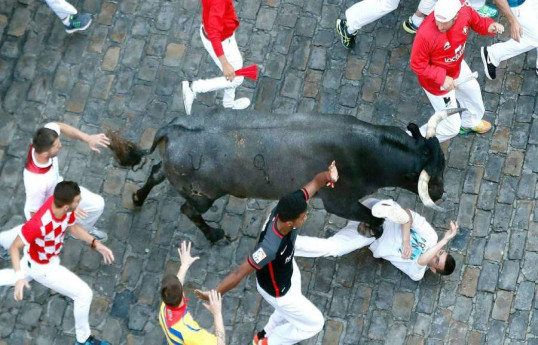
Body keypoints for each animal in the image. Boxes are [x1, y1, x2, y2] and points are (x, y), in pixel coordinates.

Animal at [109, 110, 444, 242]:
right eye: (431, 175)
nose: (440, 193)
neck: (366, 150)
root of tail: (173, 130)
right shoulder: (339, 201)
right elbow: (372, 215)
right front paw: (373, 229)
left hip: (177, 176)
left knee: (155, 173)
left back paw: (137, 197)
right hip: (203, 195)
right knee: (187, 209)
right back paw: (214, 235)